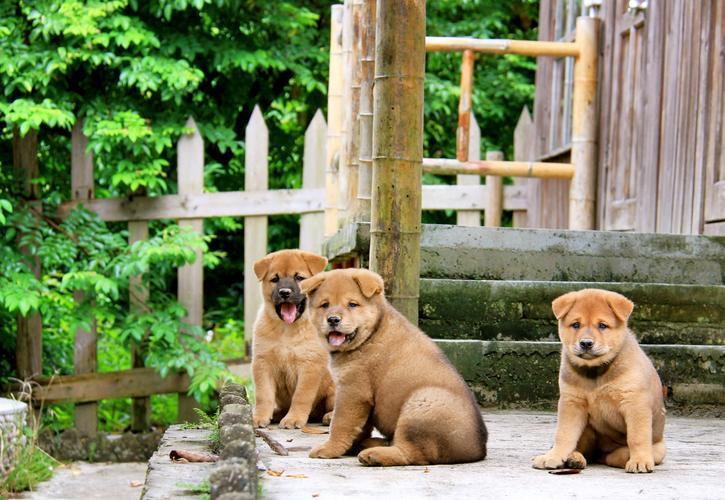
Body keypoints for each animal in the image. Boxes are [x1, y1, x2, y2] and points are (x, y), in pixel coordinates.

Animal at [250, 250, 336, 430]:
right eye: (275, 279)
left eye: (299, 278)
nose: (284, 292)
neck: (287, 330)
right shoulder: (263, 363)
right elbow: (263, 395)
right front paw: (260, 416)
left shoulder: (310, 365)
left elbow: (301, 396)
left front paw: (294, 419)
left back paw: (330, 416)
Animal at [300, 268, 486, 466]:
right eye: (325, 305)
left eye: (352, 304)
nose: (333, 319)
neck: (370, 336)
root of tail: (477, 450)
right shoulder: (360, 397)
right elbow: (359, 428)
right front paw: (350, 446)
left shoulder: (353, 392)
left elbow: (340, 424)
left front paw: (329, 449)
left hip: (421, 404)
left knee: (411, 453)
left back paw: (373, 455)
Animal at [528, 290, 664, 472]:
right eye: (576, 325)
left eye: (602, 325)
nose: (586, 343)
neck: (595, 373)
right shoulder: (571, 403)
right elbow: (564, 435)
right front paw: (553, 456)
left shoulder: (634, 404)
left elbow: (637, 437)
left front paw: (639, 461)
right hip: (587, 429)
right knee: (583, 449)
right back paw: (574, 458)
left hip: (657, 449)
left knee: (616, 455)